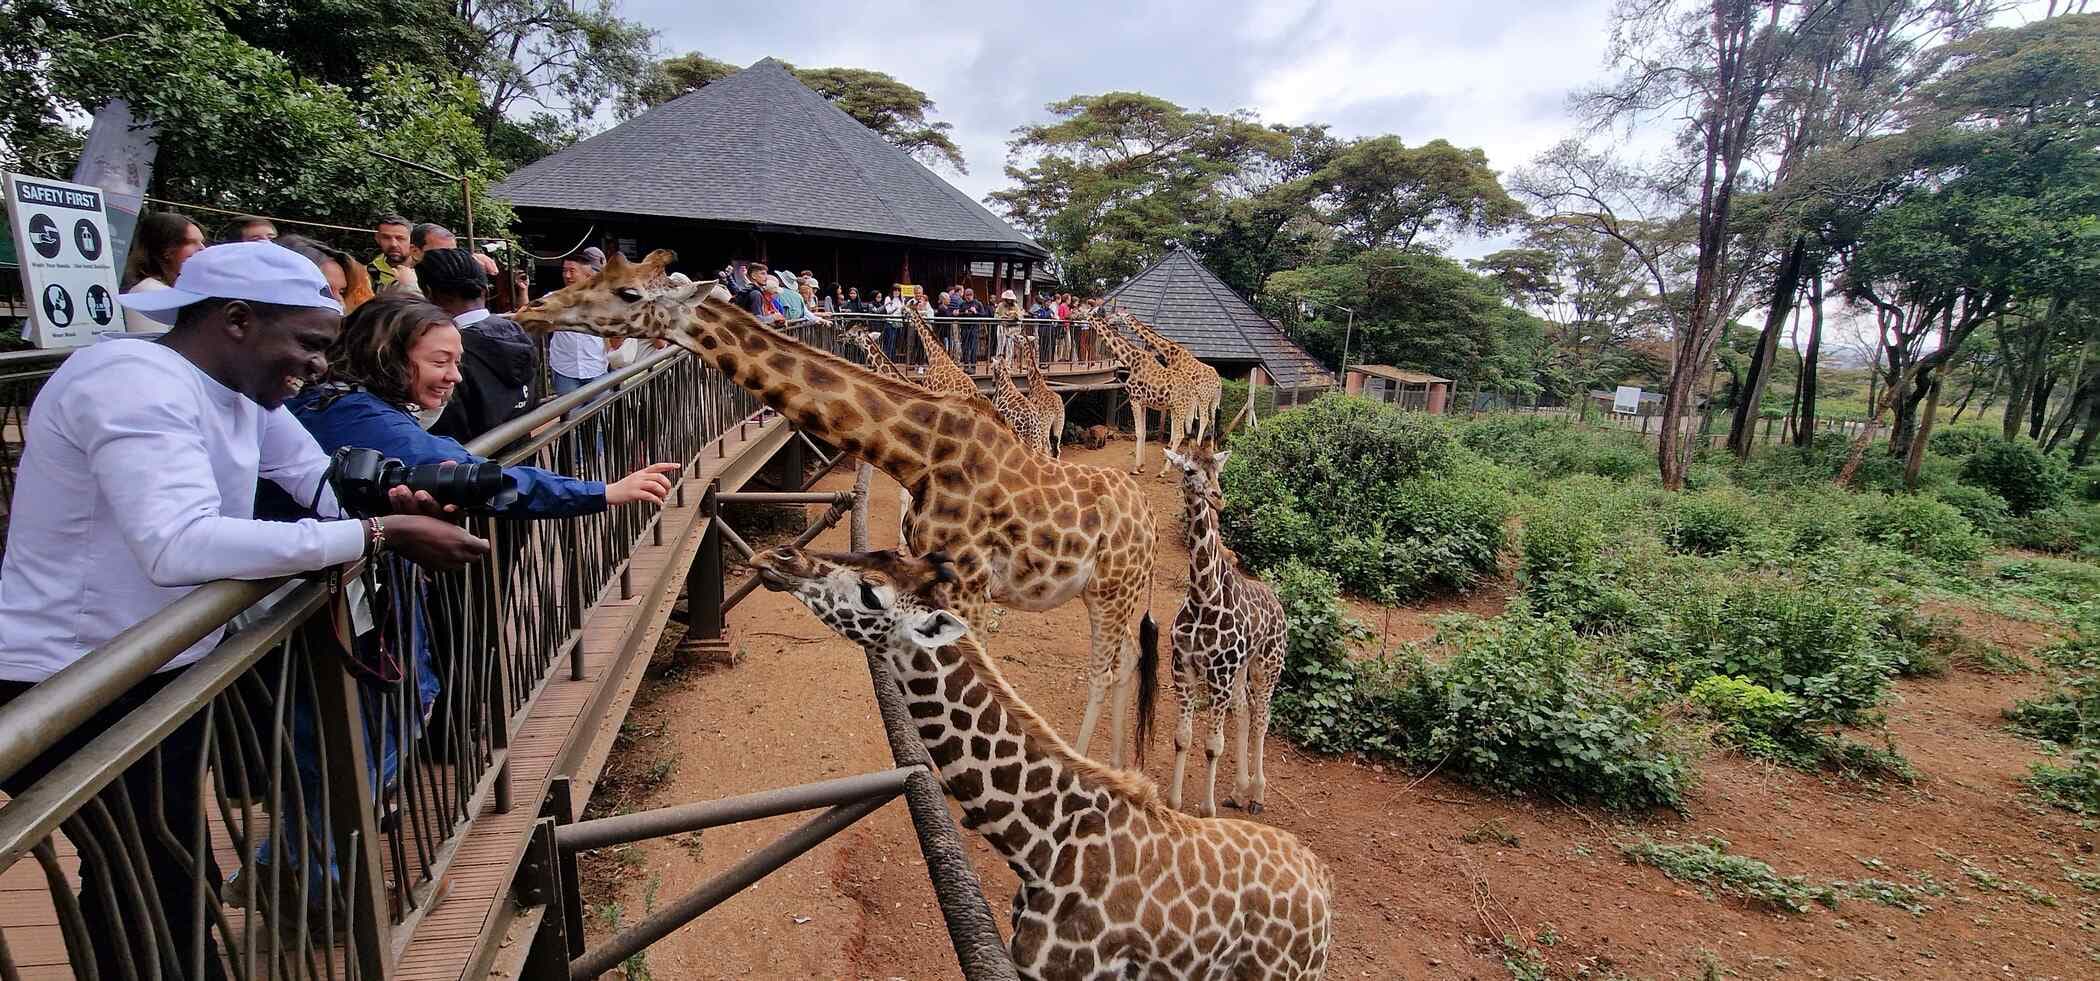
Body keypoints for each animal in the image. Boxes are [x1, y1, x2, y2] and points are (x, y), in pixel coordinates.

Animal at [516, 252, 1163, 765]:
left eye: (628, 292)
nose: (532, 311)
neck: (919, 454)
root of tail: (1149, 519)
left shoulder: (971, 585)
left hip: (1112, 587)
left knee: (1105, 668)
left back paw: (1089, 763)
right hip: (1108, 591)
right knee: (1131, 658)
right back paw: (1121, 763)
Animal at [1094, 312, 1196, 478]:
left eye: (1117, 314)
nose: (1108, 318)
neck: (1130, 360)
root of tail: (1192, 389)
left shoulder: (1134, 399)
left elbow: (1139, 432)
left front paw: (1135, 468)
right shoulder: (1143, 403)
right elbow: (1144, 432)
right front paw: (1141, 467)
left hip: (1180, 408)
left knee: (1180, 434)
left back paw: (1164, 471)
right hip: (1180, 409)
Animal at [1126, 316, 1223, 447]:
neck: (1170, 352)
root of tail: (1218, 382)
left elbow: (1173, 417)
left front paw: (1170, 443)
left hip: (1204, 397)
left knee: (1204, 418)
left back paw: (1198, 443)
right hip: (1214, 399)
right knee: (1214, 417)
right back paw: (1213, 445)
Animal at [1161, 441, 1285, 818]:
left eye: (1218, 470)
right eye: (1189, 470)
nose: (1218, 497)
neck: (1204, 596)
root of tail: (1278, 604)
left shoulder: (1220, 674)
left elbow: (1213, 744)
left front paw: (1206, 809)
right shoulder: (1183, 668)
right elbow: (1183, 738)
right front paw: (1174, 803)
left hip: (1266, 666)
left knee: (1262, 716)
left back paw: (1258, 794)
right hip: (1242, 669)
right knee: (1244, 711)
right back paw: (1238, 790)